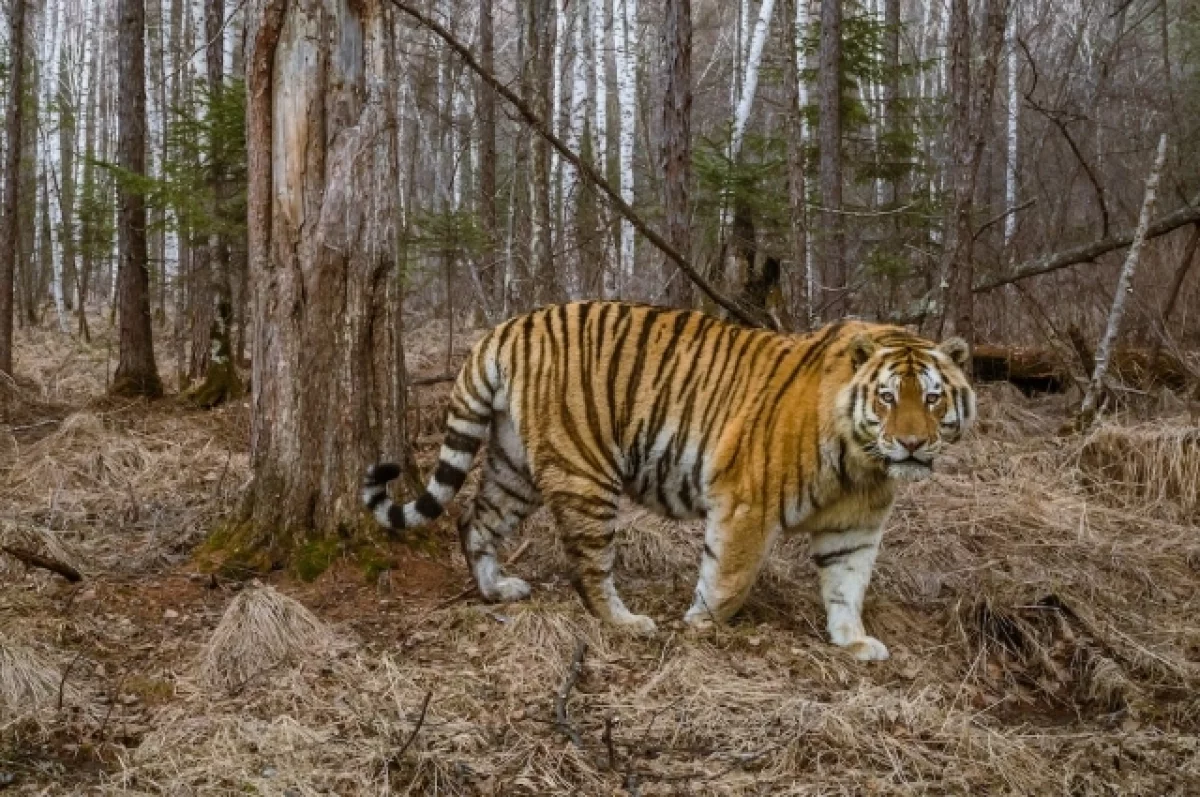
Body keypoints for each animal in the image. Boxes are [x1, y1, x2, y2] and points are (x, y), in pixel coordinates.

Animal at [364, 298, 974, 657]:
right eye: (888, 397)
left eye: (933, 399)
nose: (912, 443)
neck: (862, 465)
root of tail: (509, 327)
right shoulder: (745, 503)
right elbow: (728, 578)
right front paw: (700, 625)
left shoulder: (856, 526)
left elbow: (848, 585)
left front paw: (853, 641)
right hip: (585, 472)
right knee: (587, 566)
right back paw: (626, 622)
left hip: (514, 466)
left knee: (474, 519)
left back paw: (498, 590)